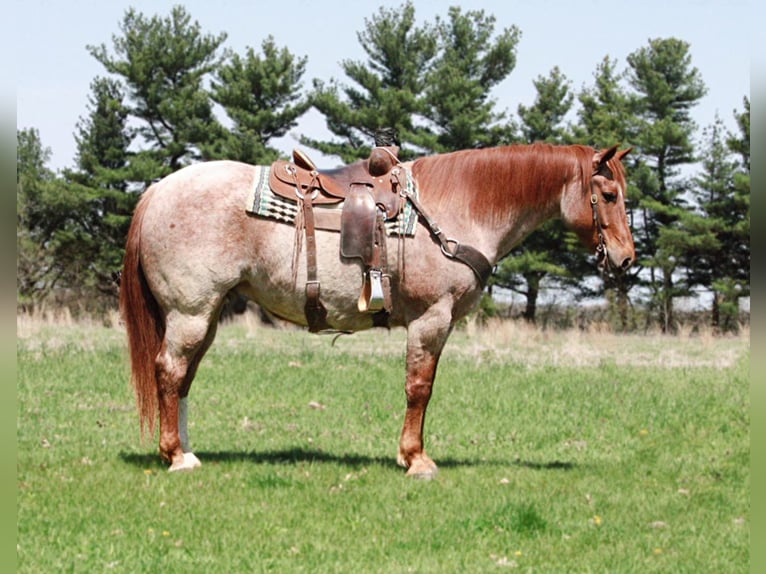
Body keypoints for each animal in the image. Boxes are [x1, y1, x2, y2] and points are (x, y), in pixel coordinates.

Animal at [120, 142, 636, 480]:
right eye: (609, 195)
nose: (627, 258)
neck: (458, 207)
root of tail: (157, 192)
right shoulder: (432, 319)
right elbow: (419, 388)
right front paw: (416, 459)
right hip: (191, 312)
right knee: (169, 371)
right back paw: (176, 456)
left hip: (204, 316)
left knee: (183, 379)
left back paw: (187, 450)